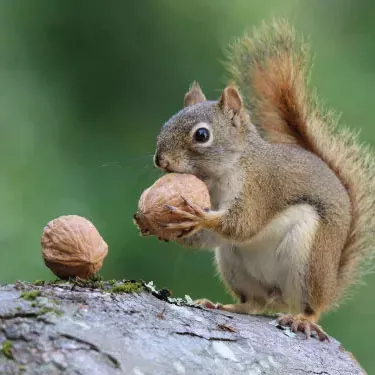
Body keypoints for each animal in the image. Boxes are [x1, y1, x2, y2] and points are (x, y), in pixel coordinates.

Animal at [151, 19, 374, 340]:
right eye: (166, 123)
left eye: (202, 135)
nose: (160, 160)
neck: (222, 174)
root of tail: (331, 283)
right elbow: (211, 238)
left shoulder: (260, 187)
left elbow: (244, 223)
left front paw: (199, 217)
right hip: (233, 264)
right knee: (254, 303)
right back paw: (223, 306)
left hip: (309, 260)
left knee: (311, 306)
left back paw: (303, 319)